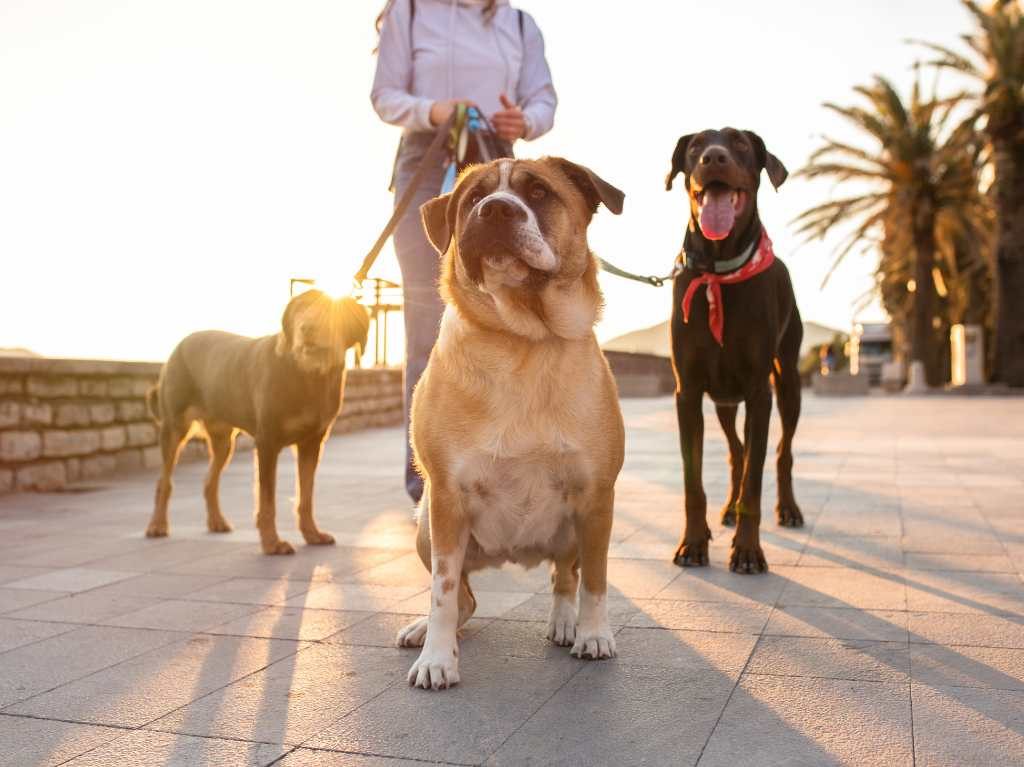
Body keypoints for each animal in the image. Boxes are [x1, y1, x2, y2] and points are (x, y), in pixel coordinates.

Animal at [143, 290, 368, 552]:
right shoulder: (267, 442)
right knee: (164, 481)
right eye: (300, 308)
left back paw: (216, 521)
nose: (307, 328)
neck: (307, 374)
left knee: (210, 480)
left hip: (223, 441)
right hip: (174, 428)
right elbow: (267, 499)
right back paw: (157, 524)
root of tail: (180, 344)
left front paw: (312, 534)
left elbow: (306, 495)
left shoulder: (312, 443)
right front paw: (272, 543)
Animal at [397, 155, 622, 688]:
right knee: (465, 599)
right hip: (425, 526)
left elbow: (595, 579)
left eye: (539, 192)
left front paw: (593, 633)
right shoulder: (446, 499)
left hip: (572, 527)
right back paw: (426, 630)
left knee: (564, 575)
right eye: (474, 198)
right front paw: (437, 658)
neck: (523, 340)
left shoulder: (596, 497)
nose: (496, 210)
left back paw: (565, 622)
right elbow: (442, 591)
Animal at [667, 125, 802, 573]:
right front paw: (693, 543)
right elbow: (693, 482)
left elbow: (755, 484)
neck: (718, 273)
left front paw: (747, 551)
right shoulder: (688, 393)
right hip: (724, 401)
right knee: (736, 453)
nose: (713, 157)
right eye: (694, 147)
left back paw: (788, 508)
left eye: (741, 144)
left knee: (780, 453)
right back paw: (725, 510)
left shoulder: (760, 393)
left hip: (788, 381)